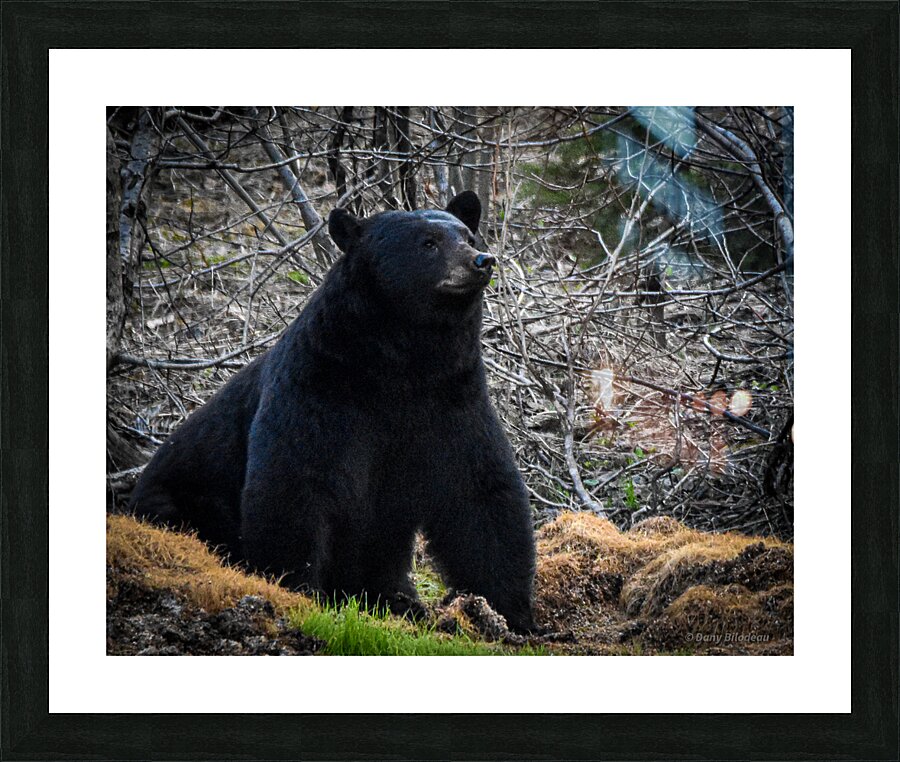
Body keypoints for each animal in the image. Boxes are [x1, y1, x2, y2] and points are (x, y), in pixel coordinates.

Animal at [129, 191, 537, 633]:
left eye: (467, 234)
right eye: (428, 243)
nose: (481, 259)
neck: (403, 361)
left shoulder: (452, 397)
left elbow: (480, 490)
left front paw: (512, 613)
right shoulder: (319, 386)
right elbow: (293, 481)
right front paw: (297, 591)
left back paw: (399, 600)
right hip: (183, 498)